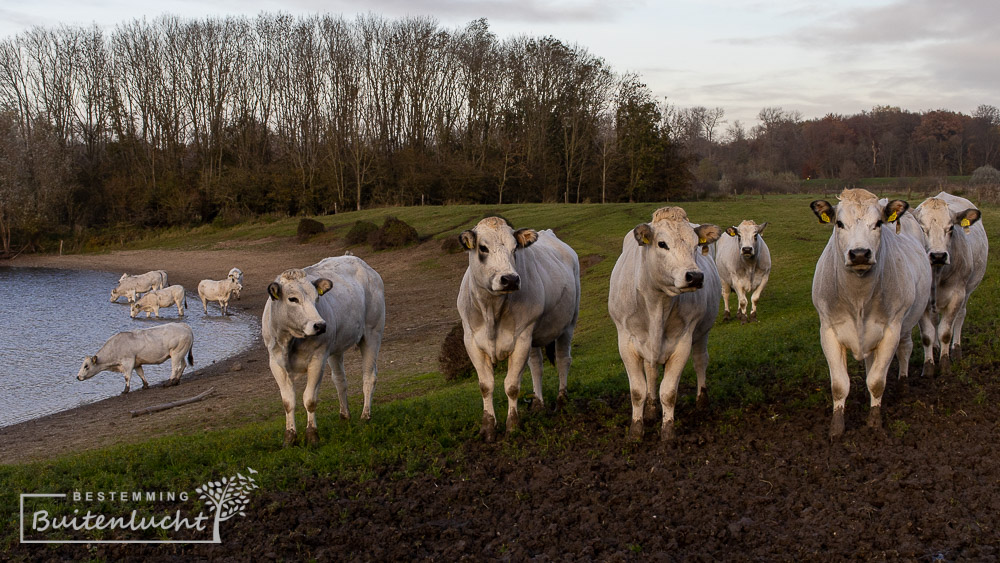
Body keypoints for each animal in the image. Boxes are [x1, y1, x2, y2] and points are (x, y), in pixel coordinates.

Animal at [262, 258, 386, 448]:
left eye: (316, 298)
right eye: (293, 299)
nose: (320, 325)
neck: (291, 340)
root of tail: (361, 263)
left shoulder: (318, 358)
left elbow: (310, 399)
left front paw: (312, 435)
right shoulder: (275, 363)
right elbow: (288, 402)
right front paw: (289, 437)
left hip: (373, 333)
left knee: (369, 376)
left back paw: (365, 416)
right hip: (336, 349)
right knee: (340, 380)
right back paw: (344, 416)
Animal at [458, 218, 584, 442]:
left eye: (514, 248)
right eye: (483, 248)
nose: (510, 279)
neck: (492, 310)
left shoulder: (521, 340)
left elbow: (512, 385)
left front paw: (513, 426)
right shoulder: (472, 342)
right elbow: (486, 386)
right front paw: (488, 428)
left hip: (568, 324)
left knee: (563, 360)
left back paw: (561, 401)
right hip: (534, 336)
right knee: (536, 365)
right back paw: (538, 404)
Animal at [604, 205, 724, 442]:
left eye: (696, 245)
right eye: (662, 244)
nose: (695, 276)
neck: (657, 304)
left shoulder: (682, 342)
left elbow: (668, 393)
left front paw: (668, 432)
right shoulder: (626, 342)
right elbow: (638, 391)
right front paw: (636, 429)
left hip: (702, 331)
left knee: (700, 361)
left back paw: (702, 401)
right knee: (651, 372)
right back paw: (650, 409)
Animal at [808, 189, 932, 440]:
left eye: (878, 223)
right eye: (839, 223)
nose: (859, 253)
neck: (858, 299)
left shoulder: (891, 330)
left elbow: (876, 381)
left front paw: (874, 422)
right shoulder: (828, 331)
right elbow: (839, 385)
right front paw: (837, 426)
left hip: (914, 314)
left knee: (906, 348)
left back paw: (903, 384)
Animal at [912, 192, 988, 376]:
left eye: (951, 228)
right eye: (922, 228)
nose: (938, 256)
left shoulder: (957, 295)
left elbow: (946, 332)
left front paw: (945, 365)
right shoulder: (922, 300)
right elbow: (927, 335)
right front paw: (929, 366)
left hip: (967, 291)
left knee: (960, 316)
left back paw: (956, 349)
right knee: (935, 321)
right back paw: (936, 347)